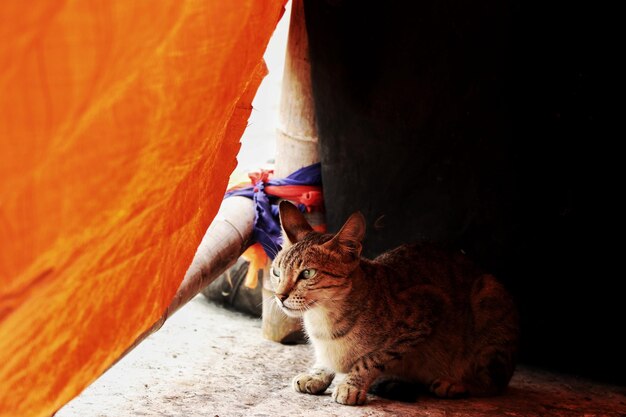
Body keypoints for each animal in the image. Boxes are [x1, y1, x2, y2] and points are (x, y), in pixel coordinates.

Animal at [268, 202, 516, 404]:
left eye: (307, 274)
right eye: (276, 272)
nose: (279, 296)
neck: (322, 319)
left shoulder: (426, 311)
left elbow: (371, 359)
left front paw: (351, 384)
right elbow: (327, 360)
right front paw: (318, 374)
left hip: (489, 302)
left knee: (495, 383)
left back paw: (455, 384)